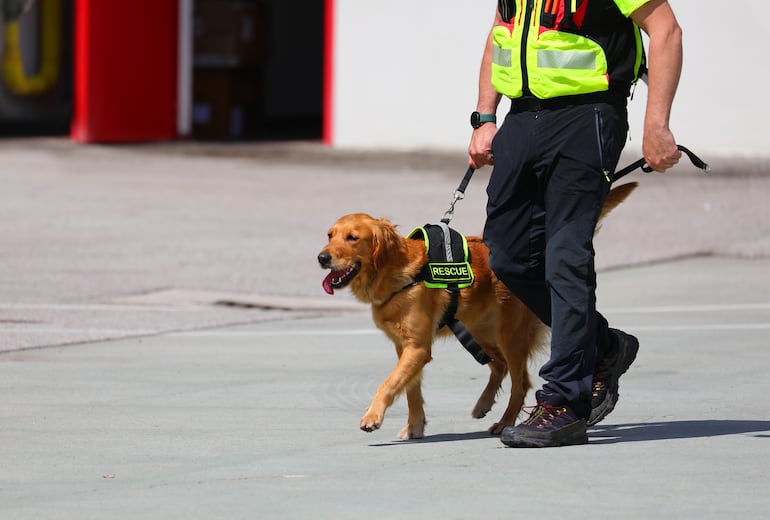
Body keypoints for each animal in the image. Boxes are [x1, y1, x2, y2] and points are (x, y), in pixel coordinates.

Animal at [316, 181, 632, 436]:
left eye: (353, 237)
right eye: (330, 235)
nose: (321, 257)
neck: (397, 275)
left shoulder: (417, 348)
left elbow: (389, 383)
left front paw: (373, 417)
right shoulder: (405, 348)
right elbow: (410, 390)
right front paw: (415, 427)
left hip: (510, 336)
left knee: (520, 383)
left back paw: (505, 423)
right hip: (478, 329)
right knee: (499, 366)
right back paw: (483, 403)